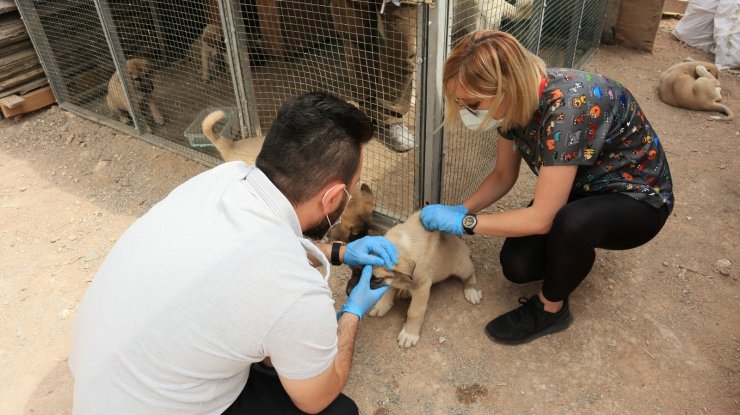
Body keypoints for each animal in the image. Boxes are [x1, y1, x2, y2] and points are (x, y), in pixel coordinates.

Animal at [350, 211, 482, 348]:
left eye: (375, 279)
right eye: (354, 270)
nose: (350, 291)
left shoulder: (422, 287)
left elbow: (415, 312)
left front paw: (409, 333)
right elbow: (388, 290)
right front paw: (381, 305)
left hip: (463, 267)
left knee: (470, 275)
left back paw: (472, 291)